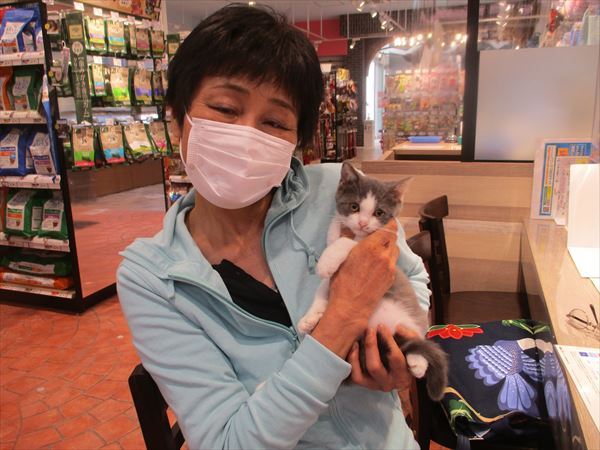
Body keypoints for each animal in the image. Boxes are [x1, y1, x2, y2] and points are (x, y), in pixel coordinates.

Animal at [297, 162, 448, 401]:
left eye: (379, 212)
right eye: (354, 206)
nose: (362, 223)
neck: (354, 233)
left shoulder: (375, 244)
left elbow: (348, 246)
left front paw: (327, 261)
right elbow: (323, 287)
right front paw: (311, 317)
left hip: (412, 320)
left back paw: (418, 363)